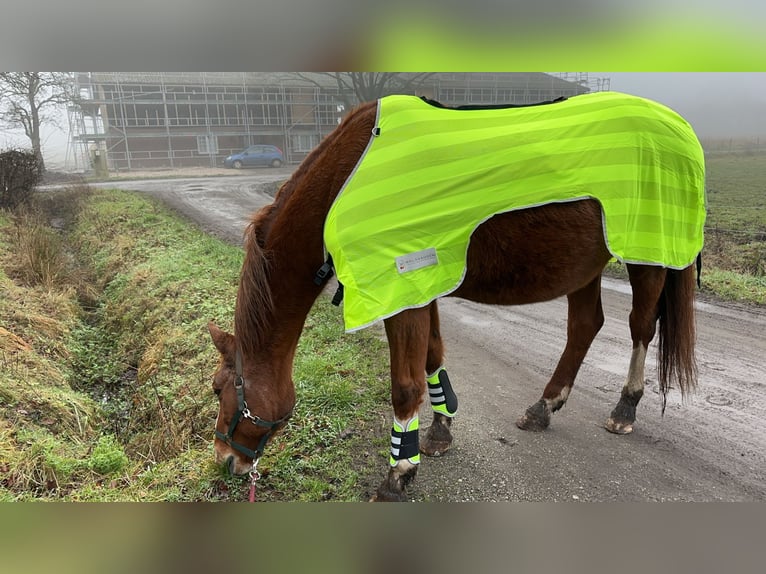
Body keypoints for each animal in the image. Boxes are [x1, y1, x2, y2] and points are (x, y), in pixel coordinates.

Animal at [207, 91, 704, 504]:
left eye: (217, 389)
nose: (226, 463)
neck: (346, 179)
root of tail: (679, 127)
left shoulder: (397, 288)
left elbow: (405, 385)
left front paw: (399, 474)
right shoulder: (418, 285)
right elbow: (432, 356)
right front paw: (439, 431)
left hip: (647, 255)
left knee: (641, 327)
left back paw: (625, 407)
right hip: (586, 263)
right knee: (585, 326)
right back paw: (543, 407)